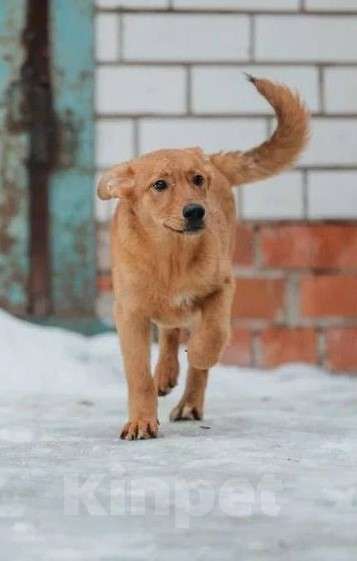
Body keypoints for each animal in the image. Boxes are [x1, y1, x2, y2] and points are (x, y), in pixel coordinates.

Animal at [98, 76, 308, 440]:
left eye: (197, 180)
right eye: (159, 185)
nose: (196, 211)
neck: (171, 256)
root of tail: (212, 159)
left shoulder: (222, 288)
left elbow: (212, 337)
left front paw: (197, 353)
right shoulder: (129, 312)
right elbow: (138, 375)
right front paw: (141, 421)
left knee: (191, 342)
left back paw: (188, 402)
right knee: (169, 332)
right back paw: (165, 375)